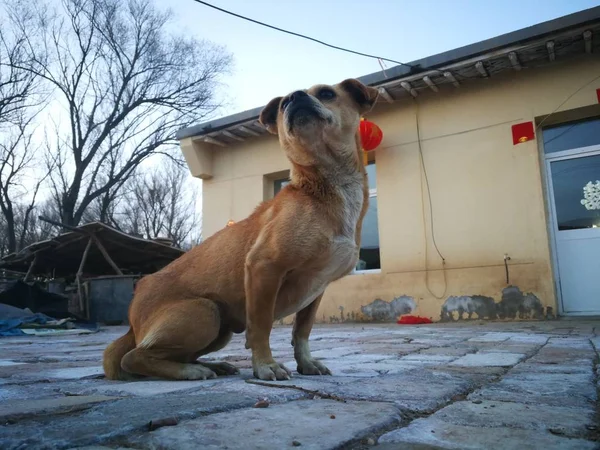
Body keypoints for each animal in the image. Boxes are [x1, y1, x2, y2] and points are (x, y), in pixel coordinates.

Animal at [101, 79, 378, 382]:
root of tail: (132, 320)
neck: (322, 186)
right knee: (134, 358)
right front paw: (266, 365)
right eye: (283, 104)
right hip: (206, 312)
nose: (294, 98)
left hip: (218, 329)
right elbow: (262, 326)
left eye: (327, 93)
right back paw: (191, 371)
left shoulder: (316, 289)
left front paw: (306, 363)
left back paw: (213, 366)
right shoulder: (263, 267)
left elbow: (302, 332)